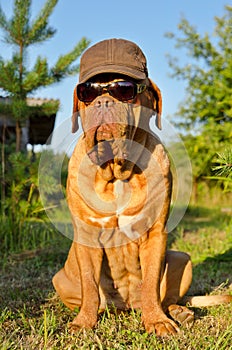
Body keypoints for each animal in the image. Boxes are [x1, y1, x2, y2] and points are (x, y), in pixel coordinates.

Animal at [53, 38, 232, 336]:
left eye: (124, 90)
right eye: (87, 93)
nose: (103, 101)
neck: (117, 172)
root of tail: (126, 306)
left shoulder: (154, 234)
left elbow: (150, 283)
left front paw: (157, 321)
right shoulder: (87, 235)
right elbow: (89, 283)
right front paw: (83, 322)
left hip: (182, 258)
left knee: (166, 295)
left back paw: (178, 312)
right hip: (61, 277)